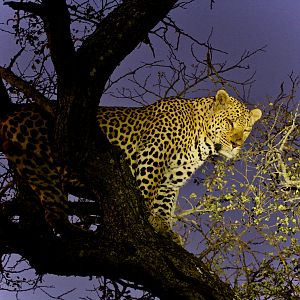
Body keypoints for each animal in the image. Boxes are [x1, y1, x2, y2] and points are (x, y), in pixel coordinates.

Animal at [0, 89, 260, 244]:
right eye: (229, 123)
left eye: (247, 129)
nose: (237, 144)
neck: (203, 141)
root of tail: (13, 114)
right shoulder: (152, 155)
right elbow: (147, 191)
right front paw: (146, 219)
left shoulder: (171, 179)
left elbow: (164, 204)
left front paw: (163, 228)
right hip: (43, 165)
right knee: (54, 214)